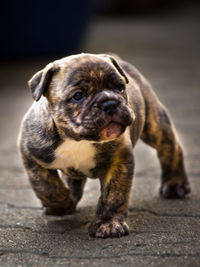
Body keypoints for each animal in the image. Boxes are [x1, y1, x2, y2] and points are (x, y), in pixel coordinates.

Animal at [18, 52, 191, 239]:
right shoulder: (31, 156)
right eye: (78, 95)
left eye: (120, 87)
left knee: (170, 148)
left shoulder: (119, 161)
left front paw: (108, 224)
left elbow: (114, 195)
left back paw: (175, 185)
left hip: (155, 124)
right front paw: (61, 204)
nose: (110, 103)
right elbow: (46, 186)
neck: (78, 139)